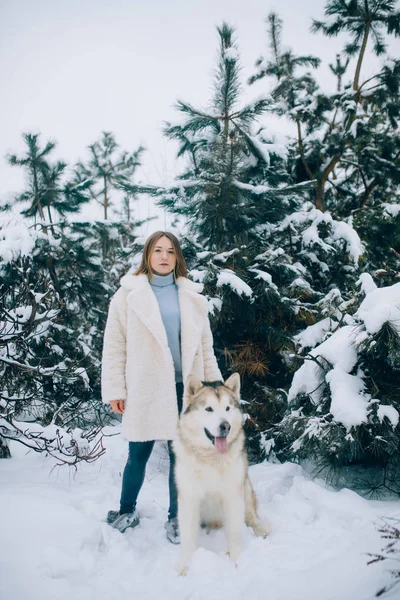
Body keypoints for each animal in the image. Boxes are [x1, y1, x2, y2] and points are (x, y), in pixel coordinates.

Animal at [173, 372, 270, 576]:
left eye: (227, 408)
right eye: (209, 409)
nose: (225, 426)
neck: (211, 457)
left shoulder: (233, 495)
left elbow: (235, 532)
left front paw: (238, 562)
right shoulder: (189, 498)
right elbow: (187, 537)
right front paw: (184, 565)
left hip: (245, 486)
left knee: (251, 517)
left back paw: (260, 528)